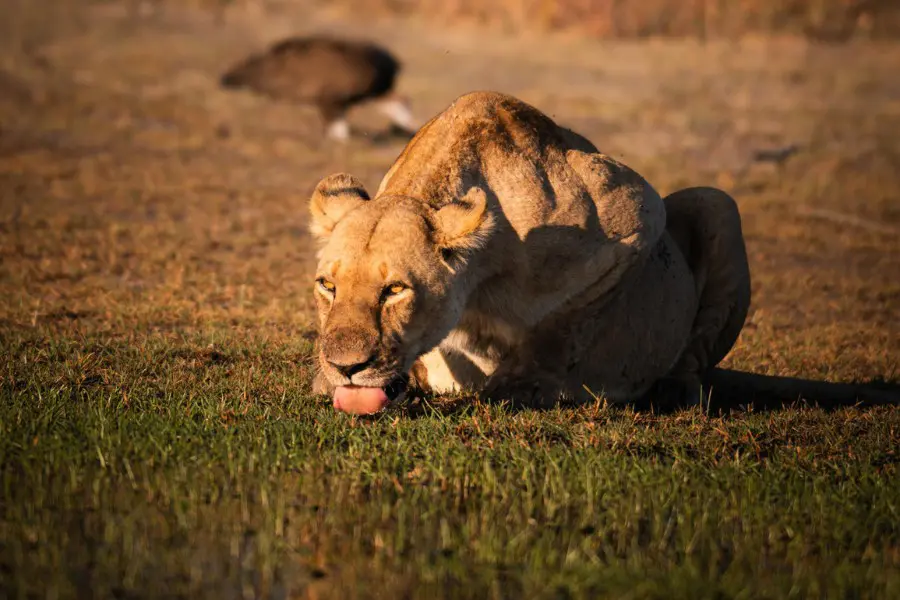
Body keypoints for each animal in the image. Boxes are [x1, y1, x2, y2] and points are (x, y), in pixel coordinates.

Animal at [308, 91, 751, 413]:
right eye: (328, 285)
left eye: (395, 290)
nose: (346, 368)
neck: (479, 283)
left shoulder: (637, 211)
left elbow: (561, 323)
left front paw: (519, 385)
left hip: (717, 202)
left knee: (694, 354)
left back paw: (675, 390)